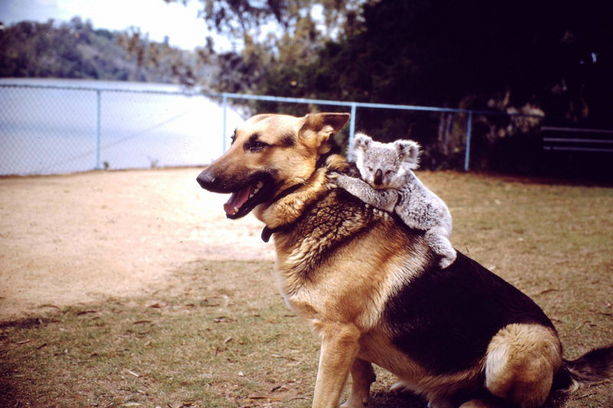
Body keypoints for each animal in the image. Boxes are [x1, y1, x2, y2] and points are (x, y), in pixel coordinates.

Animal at [196, 112, 608, 408]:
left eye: (257, 145)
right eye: (234, 141)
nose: (202, 179)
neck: (312, 201)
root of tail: (563, 360)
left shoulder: (337, 336)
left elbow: (324, 397)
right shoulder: (349, 339)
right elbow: (360, 381)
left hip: (511, 345)